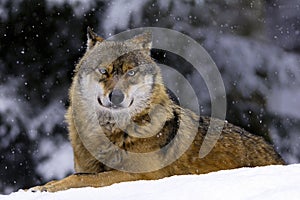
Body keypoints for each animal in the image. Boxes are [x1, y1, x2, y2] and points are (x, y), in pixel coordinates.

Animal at [30, 27, 286, 192]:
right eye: (104, 71)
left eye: (131, 72)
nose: (117, 96)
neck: (112, 132)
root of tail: (278, 156)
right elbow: (81, 174)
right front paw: (45, 185)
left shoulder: (141, 175)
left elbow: (85, 179)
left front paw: (48, 188)